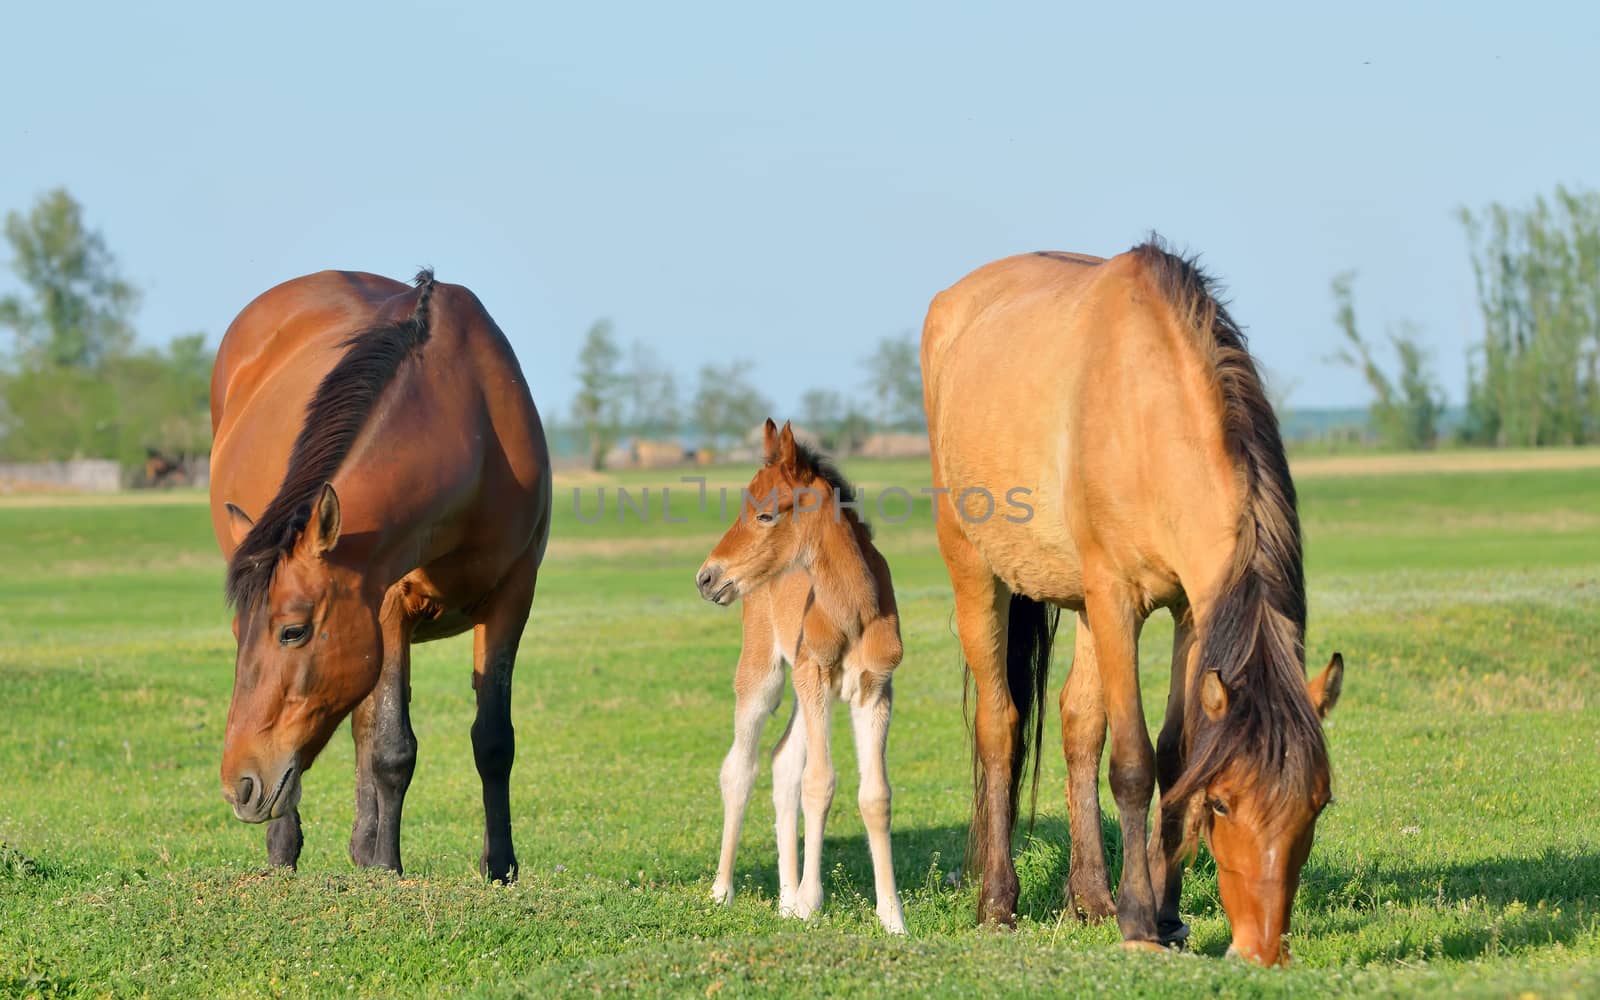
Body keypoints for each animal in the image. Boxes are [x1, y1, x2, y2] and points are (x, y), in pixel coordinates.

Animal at [206, 268, 550, 876]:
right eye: (239, 633)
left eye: (293, 631)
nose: (239, 785)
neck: (472, 428)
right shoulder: (388, 604)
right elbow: (391, 747)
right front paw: (388, 868)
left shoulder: (513, 595)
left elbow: (493, 741)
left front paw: (499, 868)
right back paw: (288, 850)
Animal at [697, 416, 908, 934]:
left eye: (765, 515)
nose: (706, 578)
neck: (853, 609)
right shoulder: (815, 677)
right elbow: (820, 782)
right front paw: (813, 904)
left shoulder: (875, 689)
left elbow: (875, 795)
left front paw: (892, 917)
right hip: (766, 675)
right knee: (741, 768)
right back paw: (722, 891)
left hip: (805, 690)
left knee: (781, 761)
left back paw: (785, 900)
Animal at [921, 238, 1344, 966]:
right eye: (1223, 805)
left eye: (1317, 804)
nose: (1261, 951)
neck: (1145, 408)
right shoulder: (1118, 600)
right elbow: (1134, 763)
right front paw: (1142, 921)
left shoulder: (1191, 611)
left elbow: (1174, 754)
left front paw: (1166, 916)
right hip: (978, 574)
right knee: (1002, 726)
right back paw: (999, 903)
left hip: (1085, 606)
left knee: (1076, 722)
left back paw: (1091, 897)